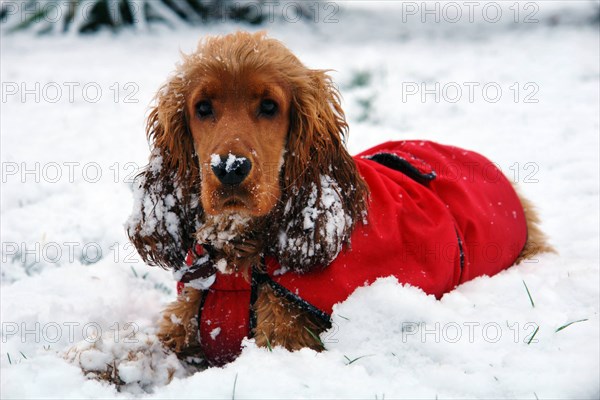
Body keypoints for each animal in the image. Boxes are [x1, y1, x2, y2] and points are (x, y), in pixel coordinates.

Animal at [126, 31, 552, 368]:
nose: (229, 168)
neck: (239, 264)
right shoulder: (181, 327)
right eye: (202, 108)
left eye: (269, 106)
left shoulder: (285, 337)